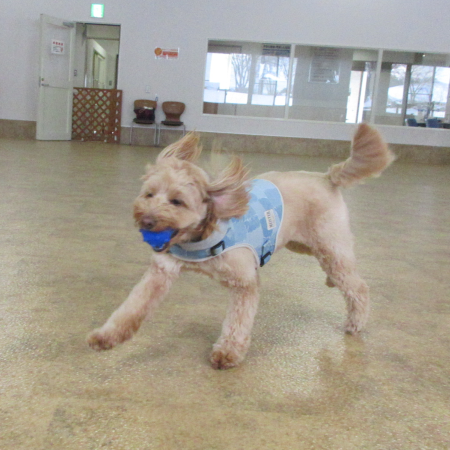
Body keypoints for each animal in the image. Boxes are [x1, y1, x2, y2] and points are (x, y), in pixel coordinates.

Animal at [88, 123, 394, 369]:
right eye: (149, 195)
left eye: (177, 201)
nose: (147, 221)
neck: (200, 237)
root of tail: (327, 176)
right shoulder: (162, 271)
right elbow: (132, 307)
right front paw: (107, 336)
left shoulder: (245, 282)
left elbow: (238, 321)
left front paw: (228, 352)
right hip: (303, 243)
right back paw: (331, 282)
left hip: (328, 245)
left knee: (357, 286)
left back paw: (355, 321)